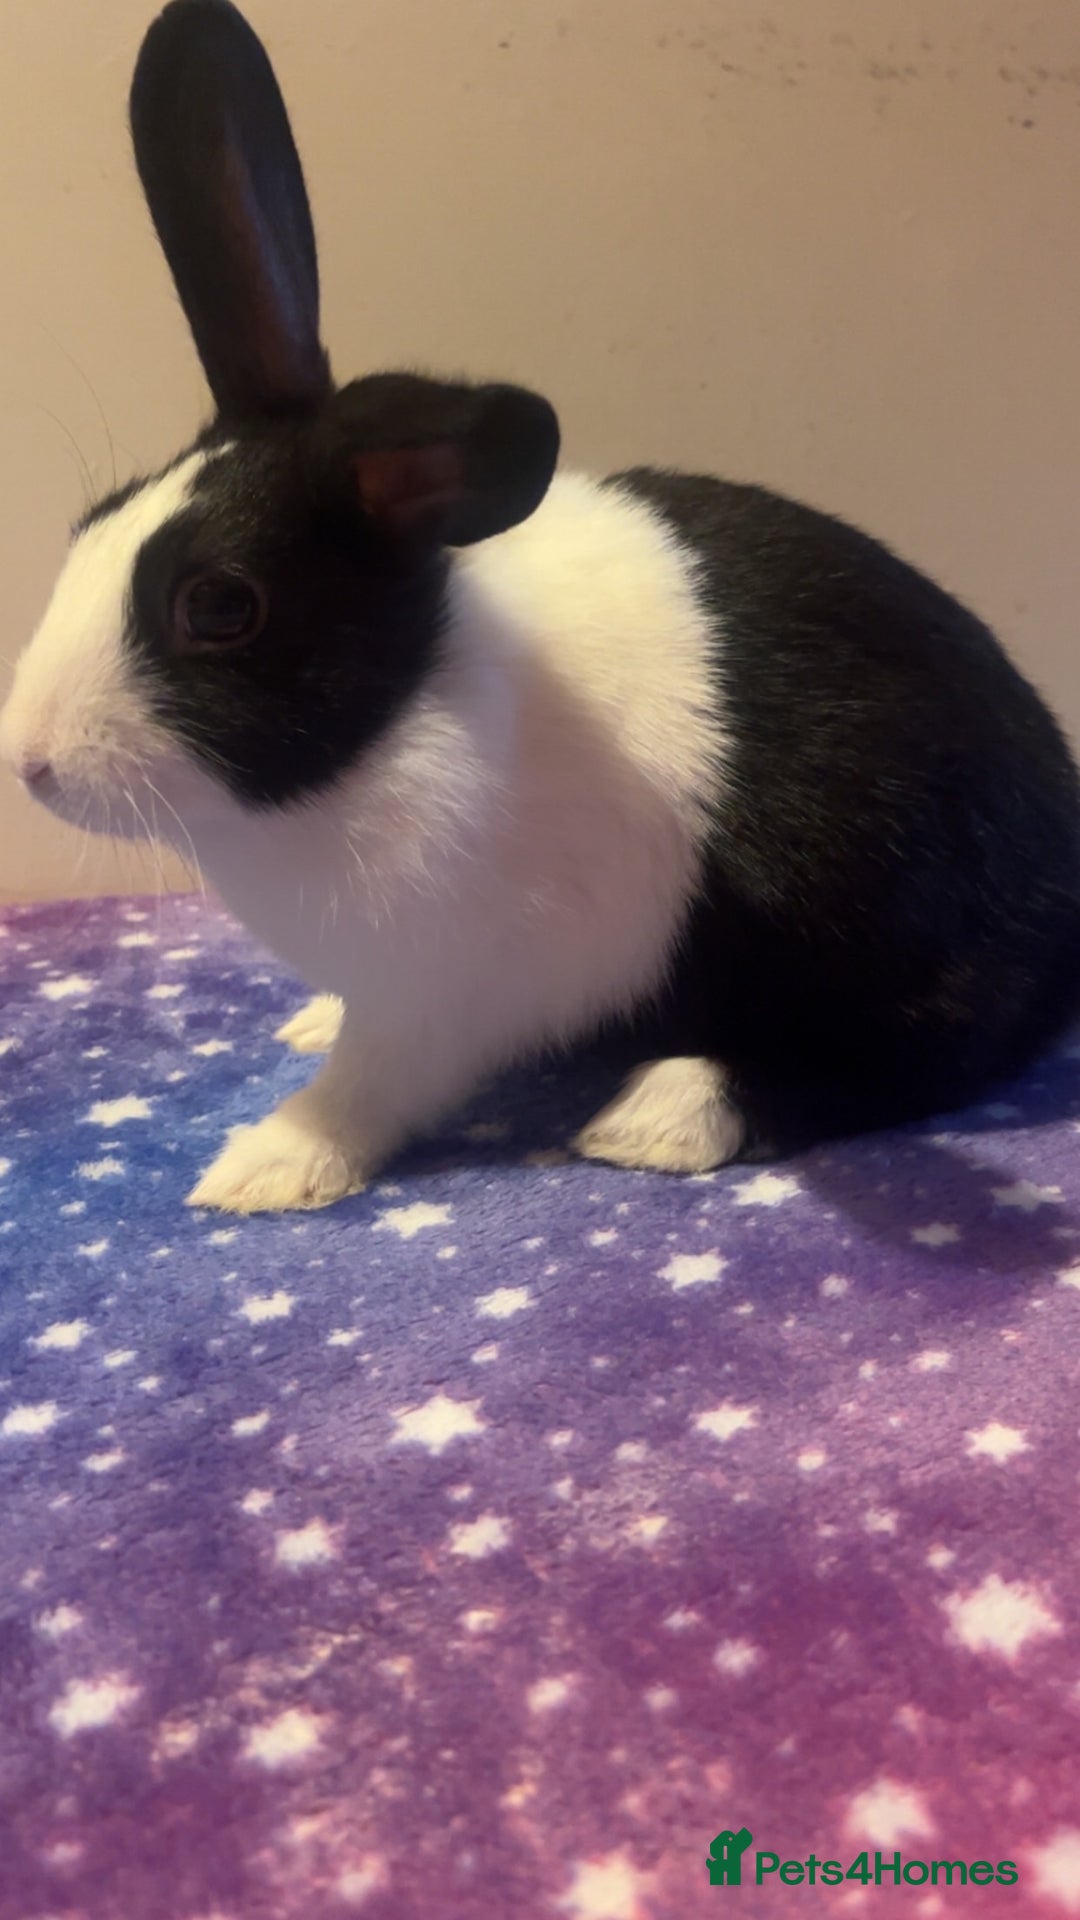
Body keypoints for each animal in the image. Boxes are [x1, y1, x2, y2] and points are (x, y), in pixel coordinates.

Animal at [3, 0, 1080, 1216]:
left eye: (221, 606)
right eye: (96, 519)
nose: (30, 761)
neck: (404, 710)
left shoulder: (443, 997)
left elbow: (368, 1087)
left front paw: (264, 1167)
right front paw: (309, 1029)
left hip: (884, 907)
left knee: (923, 1054)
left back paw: (662, 1114)